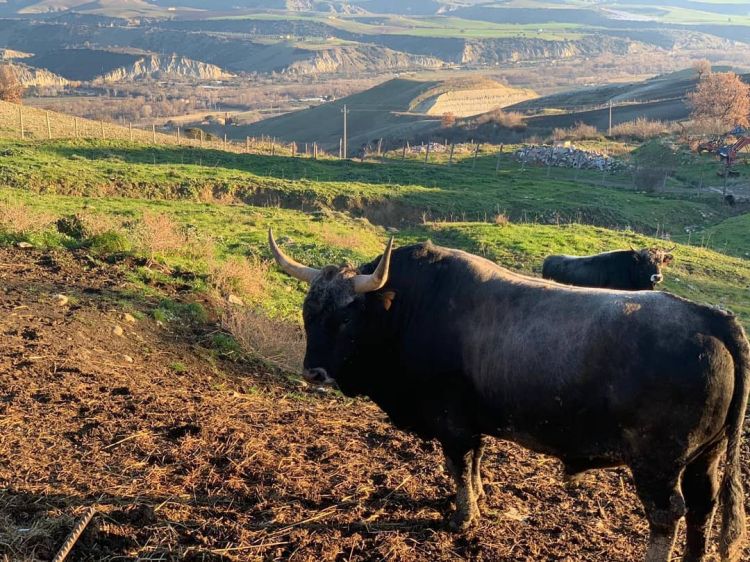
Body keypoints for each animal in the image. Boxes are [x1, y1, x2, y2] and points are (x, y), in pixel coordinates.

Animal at [272, 230, 750, 556]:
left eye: (345, 319)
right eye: (308, 312)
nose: (313, 373)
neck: (407, 307)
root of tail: (711, 317)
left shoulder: (452, 422)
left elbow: (459, 465)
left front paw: (463, 516)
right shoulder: (473, 421)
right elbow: (476, 463)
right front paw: (480, 498)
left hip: (657, 464)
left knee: (668, 515)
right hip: (705, 457)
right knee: (704, 507)